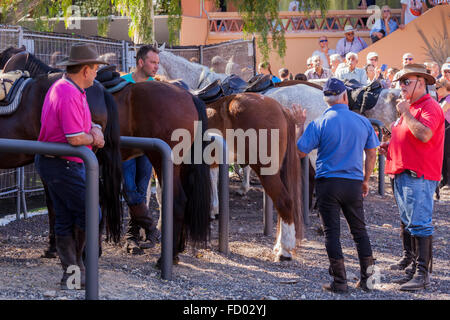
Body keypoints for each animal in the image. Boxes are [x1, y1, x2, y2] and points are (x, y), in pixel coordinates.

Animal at [0, 48, 212, 262]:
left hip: (162, 160)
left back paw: (165, 258)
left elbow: (55, 203)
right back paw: (174, 251)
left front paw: (54, 248)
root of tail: (189, 96)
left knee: (176, 201)